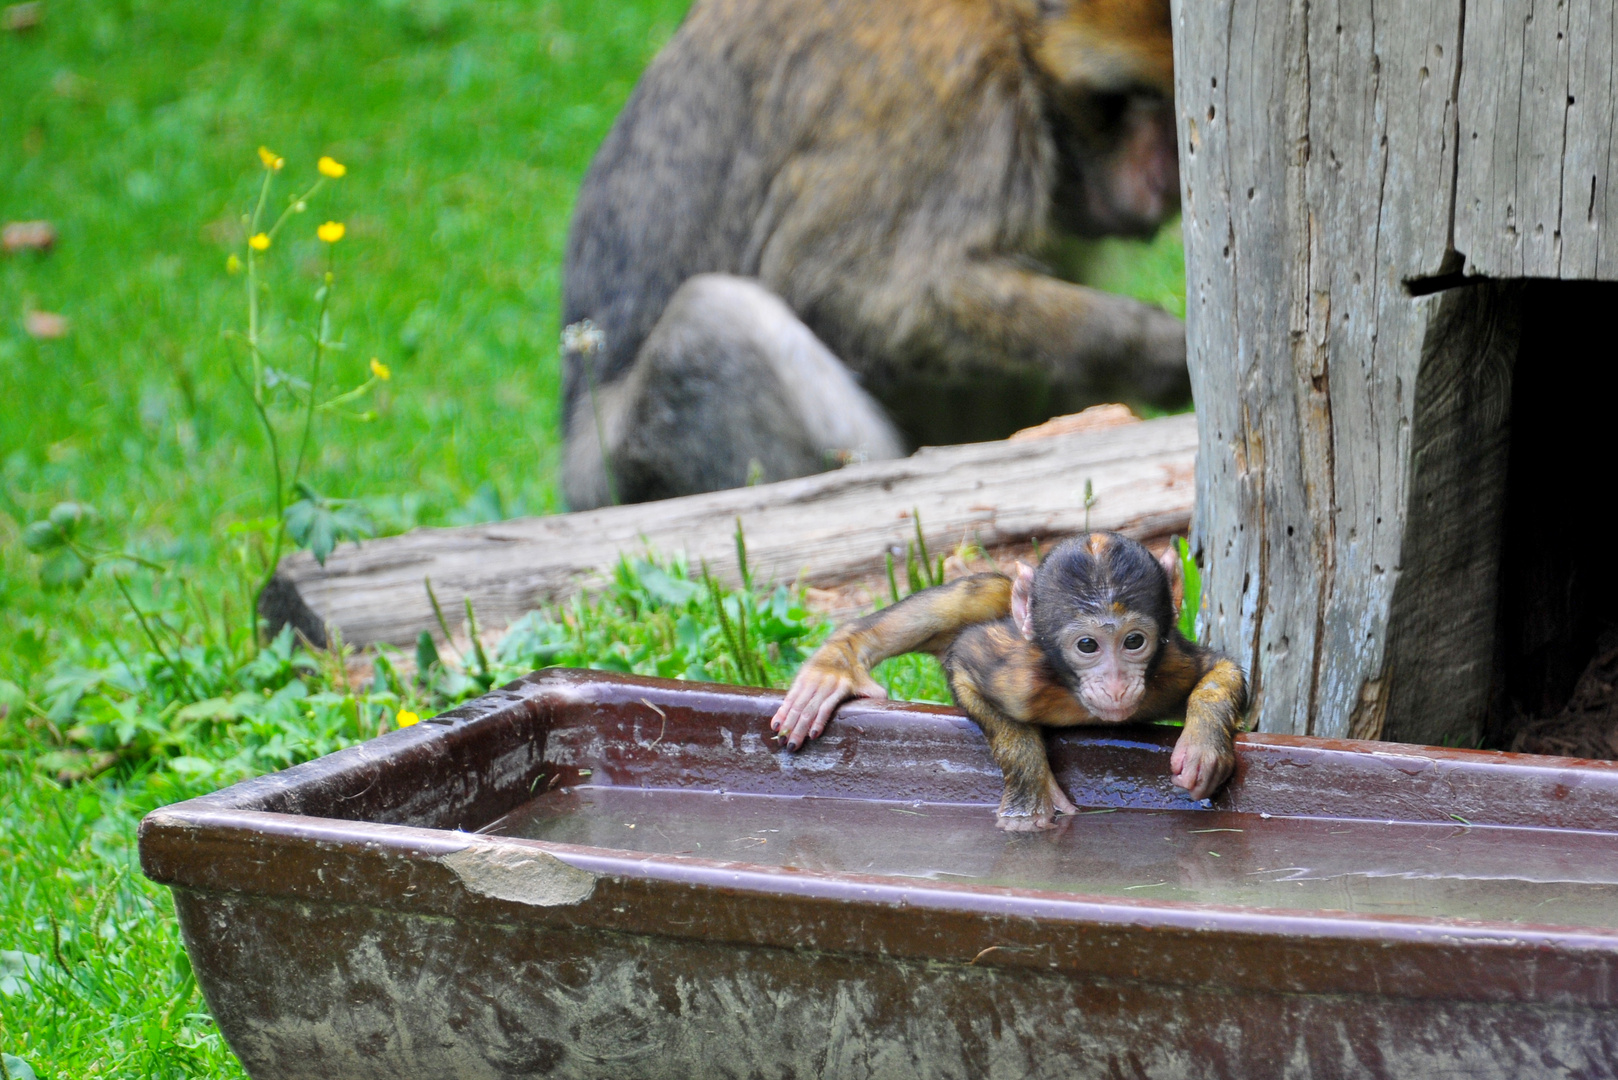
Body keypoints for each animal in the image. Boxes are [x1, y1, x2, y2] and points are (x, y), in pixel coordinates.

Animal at [563, 0, 1184, 511]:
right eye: (1142, 99)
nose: (1169, 178)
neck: (1013, 29)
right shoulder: (948, 86)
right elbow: (856, 297)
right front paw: (1160, 353)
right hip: (628, 472)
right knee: (715, 317)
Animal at [773, 537, 1249, 835]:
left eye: (1134, 642)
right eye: (1088, 645)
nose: (1115, 686)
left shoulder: (1169, 669)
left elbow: (1218, 670)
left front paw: (1203, 746)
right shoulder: (1015, 678)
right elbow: (967, 666)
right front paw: (1031, 791)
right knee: (982, 591)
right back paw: (838, 661)